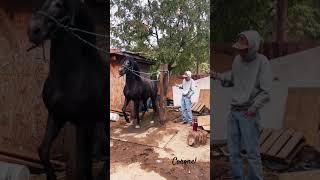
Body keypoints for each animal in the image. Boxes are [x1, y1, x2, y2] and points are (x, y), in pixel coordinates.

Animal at [27, 0, 107, 180]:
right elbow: (43, 151)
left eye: (59, 4)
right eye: (43, 2)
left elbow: (84, 167)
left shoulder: (85, 123)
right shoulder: (56, 116)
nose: (33, 30)